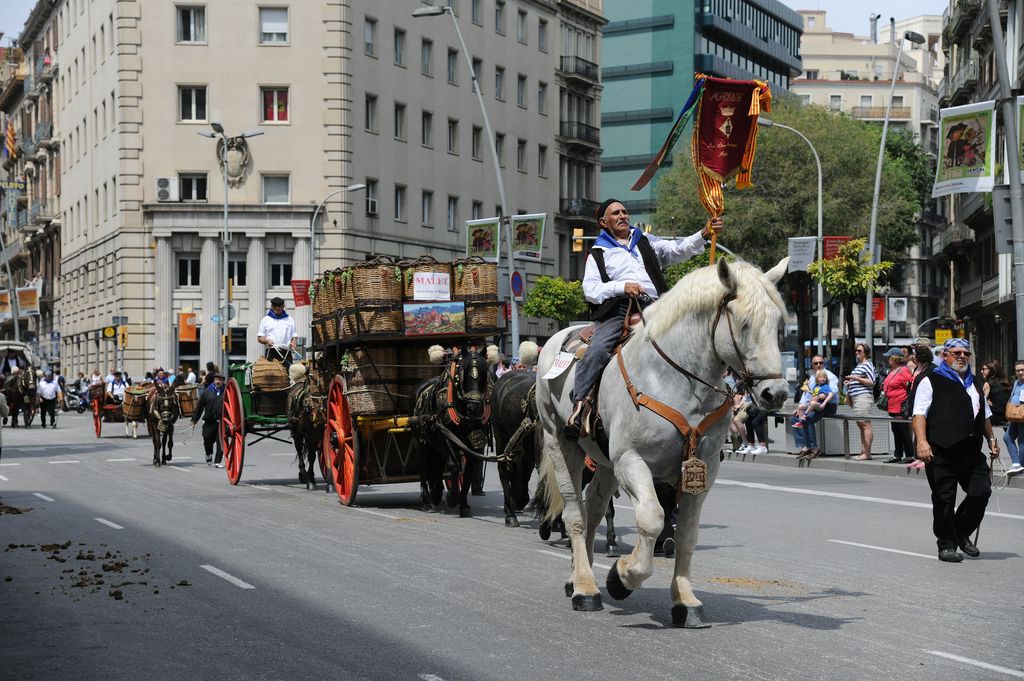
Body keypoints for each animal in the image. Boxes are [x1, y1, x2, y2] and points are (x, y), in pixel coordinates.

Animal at [415, 346, 495, 516]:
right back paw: (427, 500)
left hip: (434, 445)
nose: (474, 408)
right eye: (463, 374)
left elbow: (468, 472)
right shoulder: (446, 437)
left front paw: (463, 504)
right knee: (423, 467)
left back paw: (436, 492)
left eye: (485, 373)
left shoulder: (474, 445)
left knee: (437, 465)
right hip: (421, 442)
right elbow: (454, 466)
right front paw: (452, 497)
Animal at [536, 256, 790, 626]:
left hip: (606, 463)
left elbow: (686, 534)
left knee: (594, 507)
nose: (777, 393)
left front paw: (685, 601)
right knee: (576, 514)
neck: (678, 379)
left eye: (777, 323)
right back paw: (585, 588)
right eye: (743, 325)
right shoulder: (632, 461)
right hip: (561, 442)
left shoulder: (702, 469)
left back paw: (578, 578)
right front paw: (622, 577)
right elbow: (653, 518)